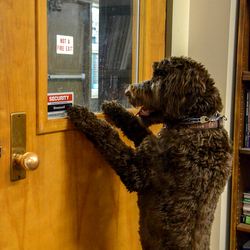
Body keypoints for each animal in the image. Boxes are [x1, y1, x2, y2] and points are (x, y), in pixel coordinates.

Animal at [66, 56, 232, 250]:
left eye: (158, 79)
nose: (127, 91)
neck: (198, 125)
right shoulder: (151, 141)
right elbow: (134, 124)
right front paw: (114, 107)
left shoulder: (136, 170)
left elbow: (109, 136)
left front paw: (83, 114)